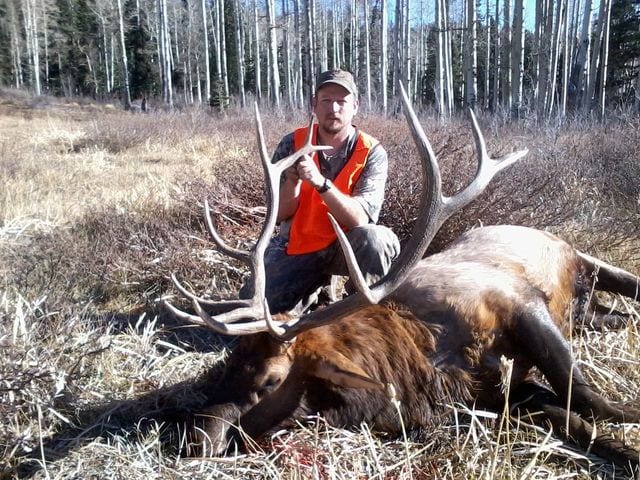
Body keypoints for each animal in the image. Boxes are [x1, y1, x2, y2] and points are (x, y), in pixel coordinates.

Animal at [164, 86, 640, 475]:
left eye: (270, 380)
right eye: (229, 363)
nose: (196, 438)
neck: (429, 357)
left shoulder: (519, 302)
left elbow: (588, 397)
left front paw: (631, 420)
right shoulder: (493, 392)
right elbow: (572, 418)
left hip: (581, 257)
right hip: (587, 309)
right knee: (611, 315)